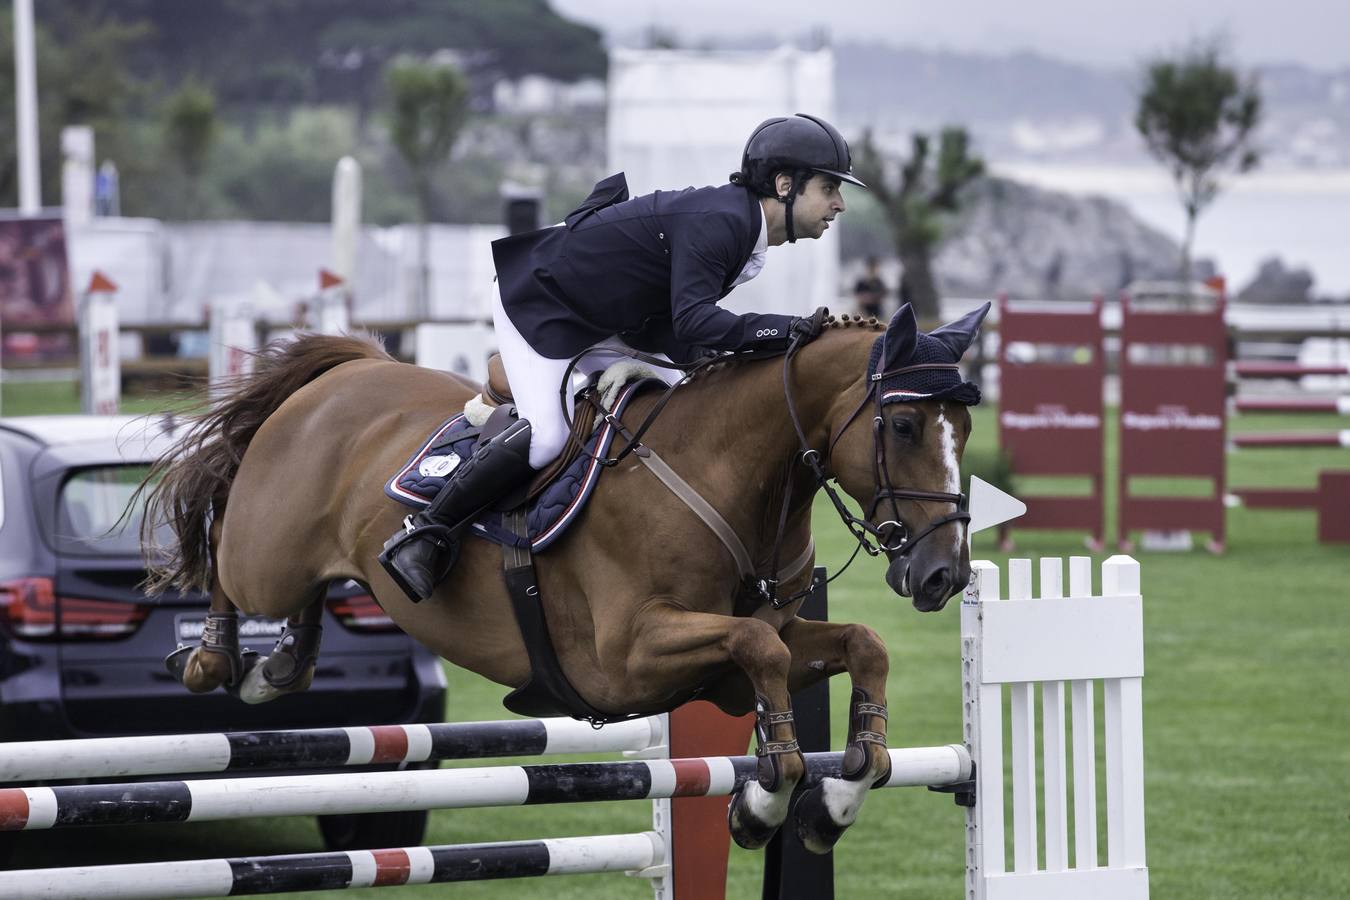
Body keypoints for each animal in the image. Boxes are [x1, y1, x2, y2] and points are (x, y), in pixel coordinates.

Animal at [142, 300, 988, 852]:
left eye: (966, 426)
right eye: (903, 425)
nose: (944, 575)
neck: (728, 474)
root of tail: (347, 371)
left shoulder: (736, 655)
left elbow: (859, 645)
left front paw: (833, 797)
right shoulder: (629, 657)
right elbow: (764, 652)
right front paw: (767, 799)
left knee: (300, 605)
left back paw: (282, 664)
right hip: (268, 556)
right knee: (226, 548)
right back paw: (217, 656)